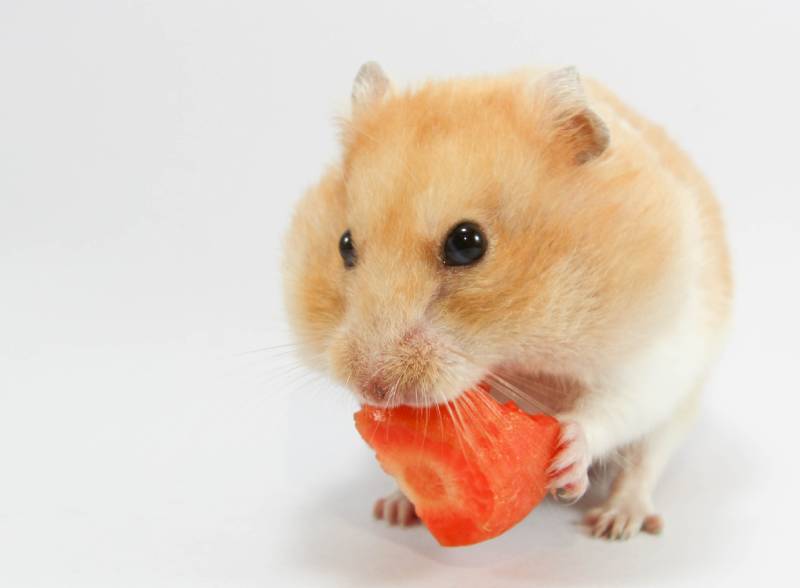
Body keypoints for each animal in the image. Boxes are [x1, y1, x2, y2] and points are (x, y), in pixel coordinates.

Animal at [282, 63, 732, 540]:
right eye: (344, 244)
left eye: (467, 244)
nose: (372, 390)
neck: (519, 353)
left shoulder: (654, 354)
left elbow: (611, 408)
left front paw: (566, 457)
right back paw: (395, 509)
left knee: (644, 463)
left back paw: (615, 523)